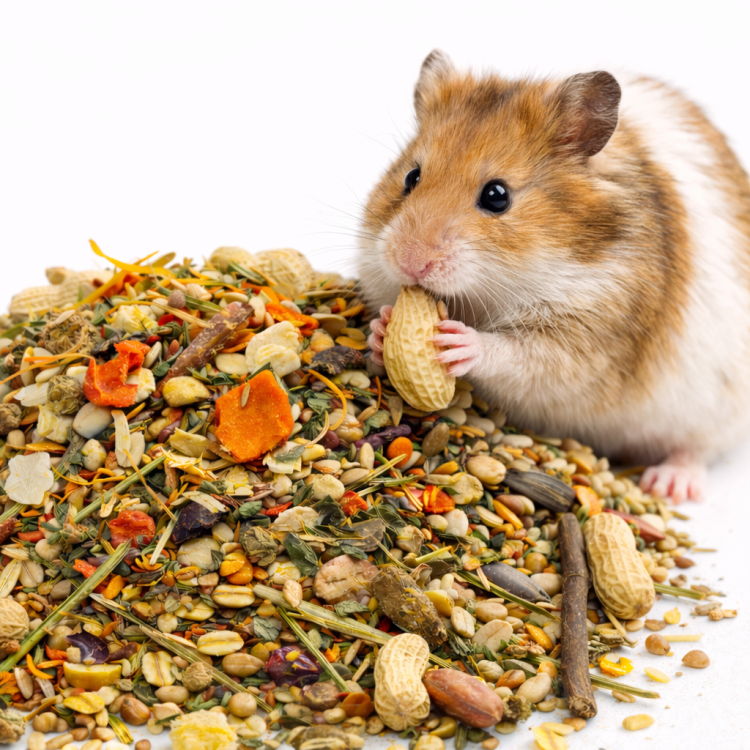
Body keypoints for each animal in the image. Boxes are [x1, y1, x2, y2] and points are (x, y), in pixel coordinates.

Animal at [358, 50, 750, 503]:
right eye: (411, 176)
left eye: (497, 196)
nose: (409, 263)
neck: (498, 284)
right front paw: (382, 328)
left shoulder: (585, 336)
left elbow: (515, 353)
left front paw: (456, 342)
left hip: (716, 405)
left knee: (695, 448)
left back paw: (669, 487)